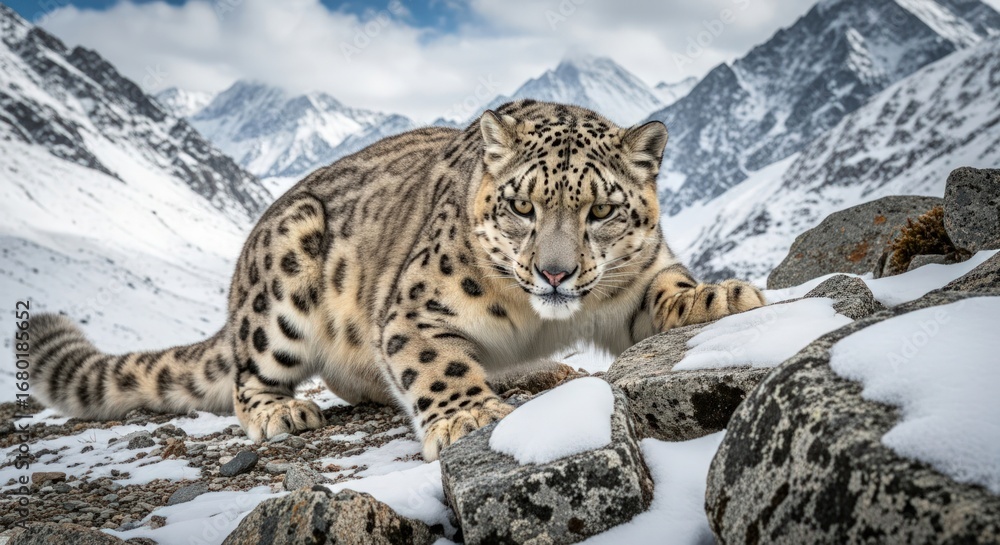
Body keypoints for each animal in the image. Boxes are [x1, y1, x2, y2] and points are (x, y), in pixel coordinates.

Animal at [27, 100, 765, 460]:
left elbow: (666, 289)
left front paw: (721, 295)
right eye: (522, 205)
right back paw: (281, 410)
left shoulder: (636, 281)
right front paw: (469, 414)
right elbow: (436, 363)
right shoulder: (413, 311)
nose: (554, 272)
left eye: (603, 210)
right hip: (281, 282)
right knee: (248, 376)